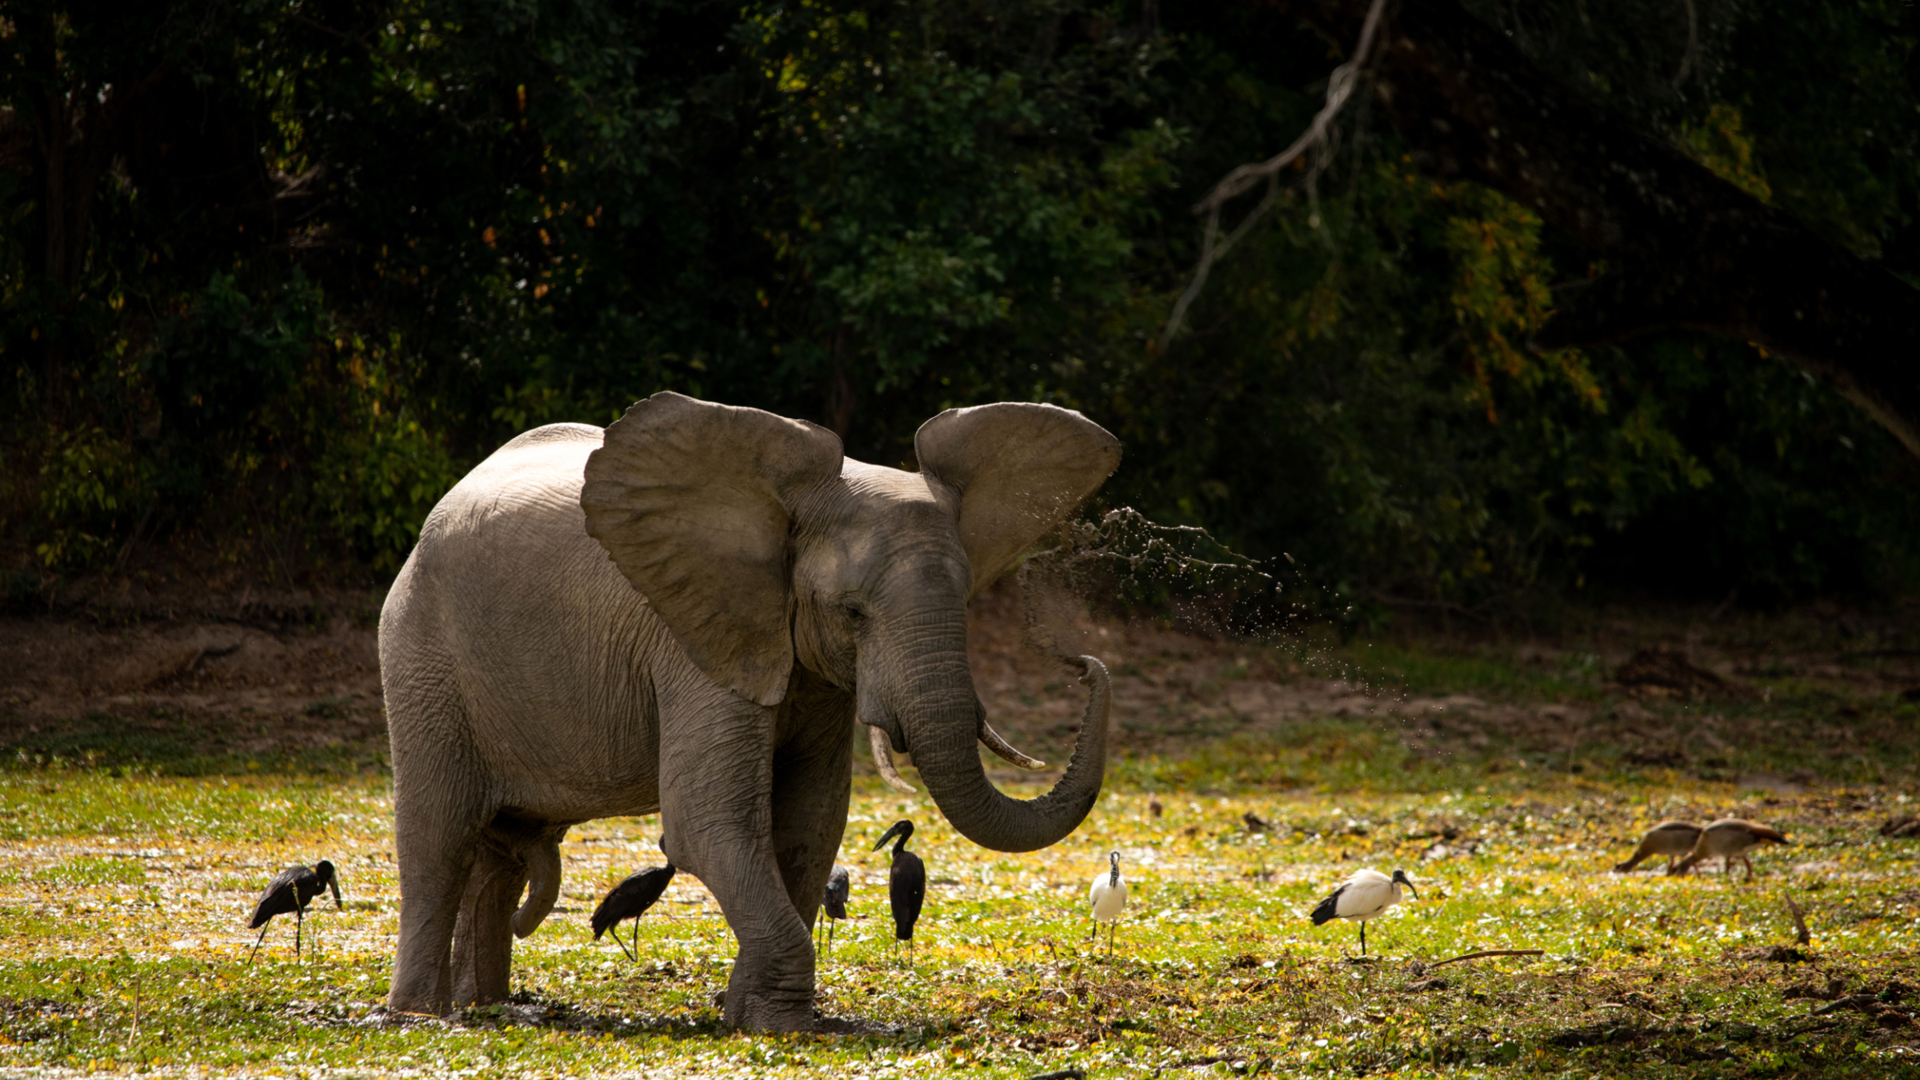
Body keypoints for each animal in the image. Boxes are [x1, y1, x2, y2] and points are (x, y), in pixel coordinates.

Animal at [377, 391, 1121, 1030]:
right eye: (853, 612)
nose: (1085, 661)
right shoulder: (692, 641)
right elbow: (709, 820)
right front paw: (781, 1025)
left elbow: (810, 821)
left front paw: (746, 1015)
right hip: (420, 654)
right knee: (439, 836)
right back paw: (421, 1016)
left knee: (500, 854)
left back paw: (487, 1008)